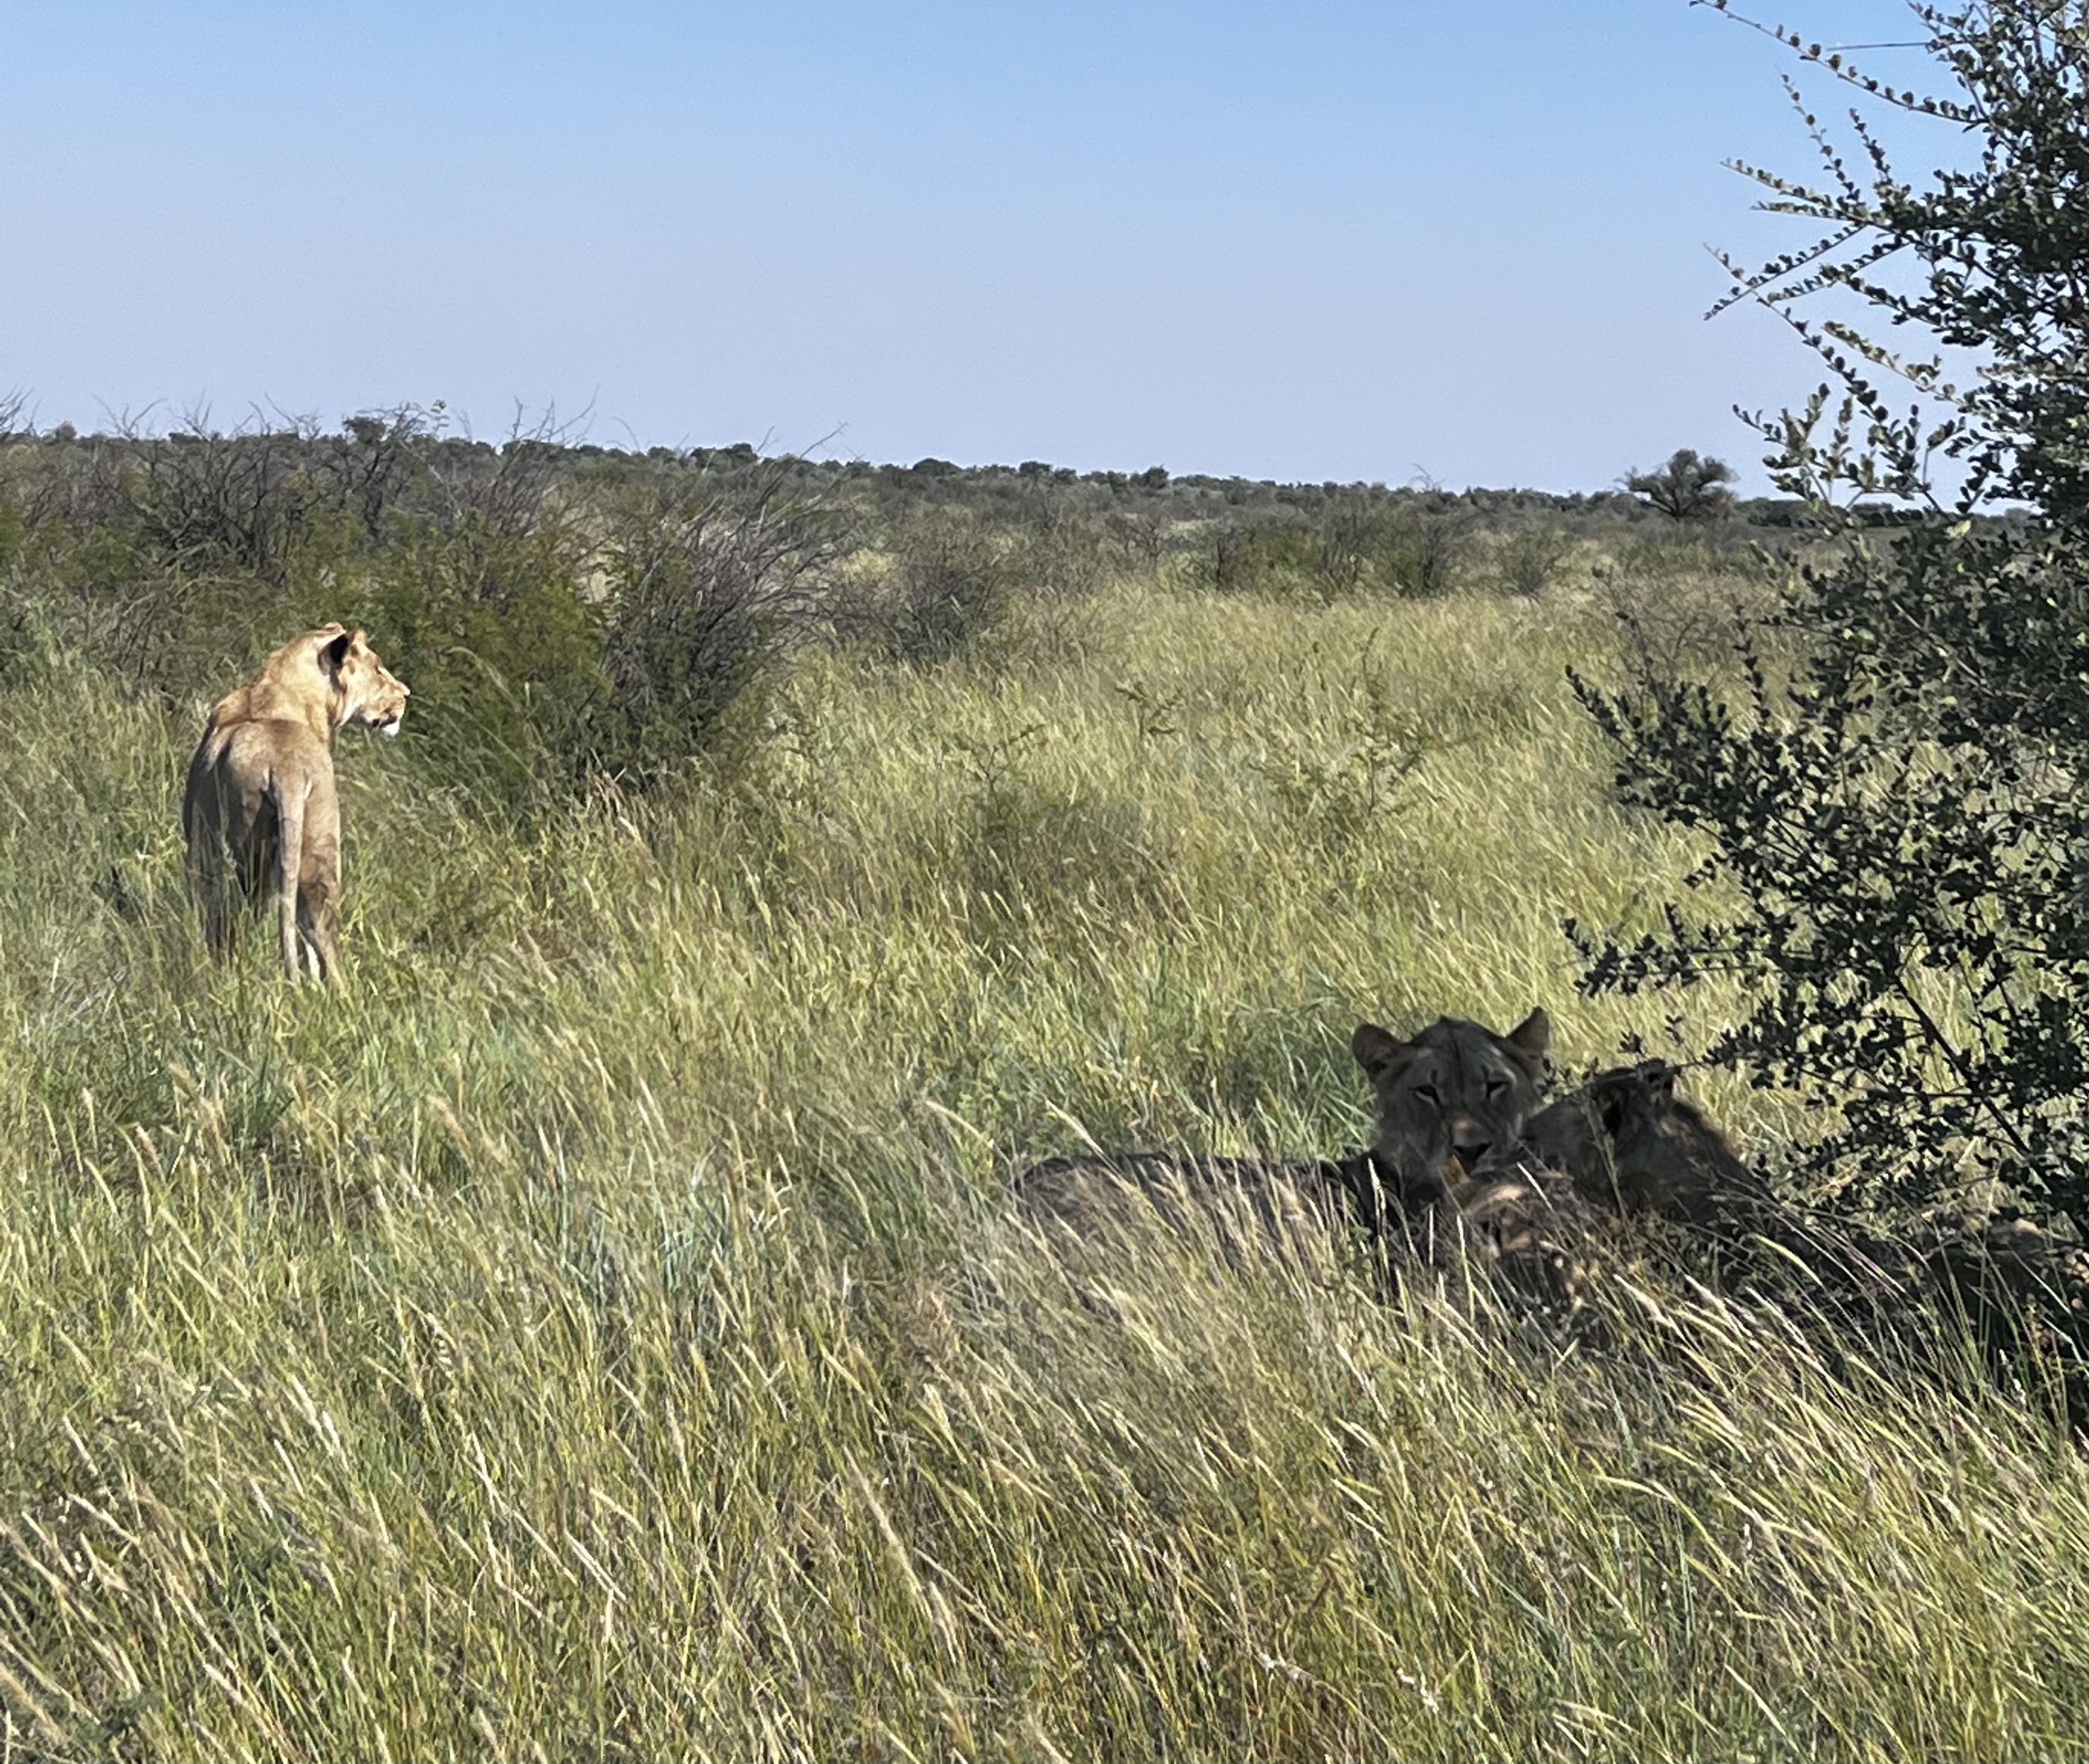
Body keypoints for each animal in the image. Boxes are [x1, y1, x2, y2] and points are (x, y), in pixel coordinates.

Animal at [182, 624, 409, 982]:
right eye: (378, 668)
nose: (406, 694)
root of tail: (287, 768)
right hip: (317, 848)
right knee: (321, 935)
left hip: (245, 855)